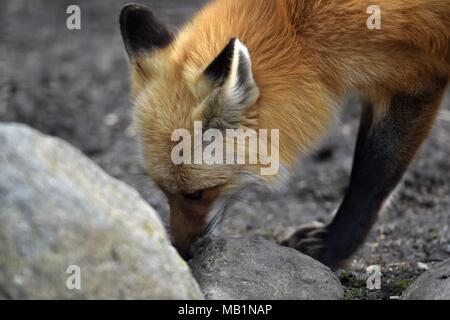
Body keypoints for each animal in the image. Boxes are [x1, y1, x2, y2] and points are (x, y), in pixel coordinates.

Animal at [119, 0, 450, 270]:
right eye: (163, 191)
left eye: (196, 194)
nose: (182, 253)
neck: (299, 28)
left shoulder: (416, 79)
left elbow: (371, 177)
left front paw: (333, 248)